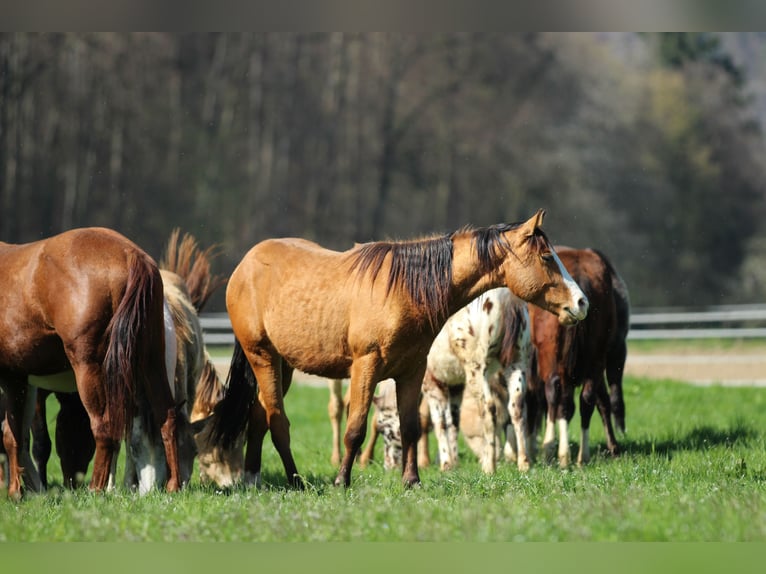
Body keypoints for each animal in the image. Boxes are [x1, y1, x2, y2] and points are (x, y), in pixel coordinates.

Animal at [0, 227, 181, 499]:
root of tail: (131, 253)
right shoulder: (16, 378)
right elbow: (14, 436)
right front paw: (16, 491)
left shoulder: (12, 379)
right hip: (152, 362)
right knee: (166, 417)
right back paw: (173, 485)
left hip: (89, 368)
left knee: (104, 428)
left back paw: (95, 488)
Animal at [203, 209, 588, 488]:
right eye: (546, 257)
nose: (581, 302)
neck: (408, 288)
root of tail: (245, 265)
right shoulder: (366, 367)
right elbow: (356, 427)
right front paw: (342, 480)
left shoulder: (412, 372)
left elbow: (411, 427)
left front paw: (412, 480)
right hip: (263, 356)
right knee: (277, 421)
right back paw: (295, 481)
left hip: (283, 365)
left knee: (259, 416)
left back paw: (253, 477)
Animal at [526, 246, 629, 468]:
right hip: (596, 359)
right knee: (588, 399)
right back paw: (584, 455)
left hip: (554, 359)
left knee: (554, 392)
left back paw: (553, 450)